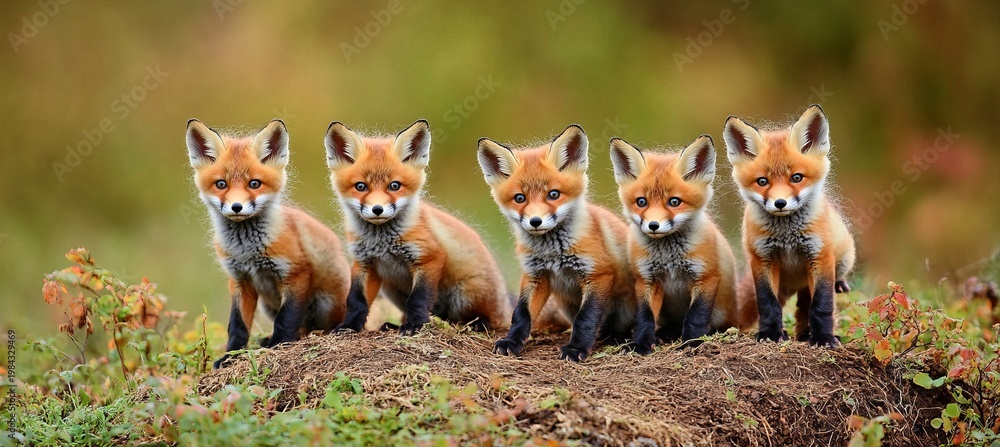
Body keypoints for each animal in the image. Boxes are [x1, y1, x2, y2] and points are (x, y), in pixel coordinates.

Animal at [185, 119, 351, 369]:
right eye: (221, 184)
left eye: (254, 183)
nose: (236, 207)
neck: (248, 251)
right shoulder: (240, 280)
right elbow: (237, 326)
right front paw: (230, 356)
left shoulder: (295, 273)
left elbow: (286, 318)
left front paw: (278, 344)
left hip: (325, 302)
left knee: (312, 327)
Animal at [324, 119, 511, 335]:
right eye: (360, 186)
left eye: (394, 186)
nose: (377, 210)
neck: (381, 242)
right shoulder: (363, 262)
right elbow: (356, 300)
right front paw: (349, 326)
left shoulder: (428, 257)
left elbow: (418, 298)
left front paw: (415, 326)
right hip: (391, 288)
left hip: (466, 295)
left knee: (490, 321)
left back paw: (477, 325)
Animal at [477, 124, 637, 362]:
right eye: (519, 198)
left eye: (553, 194)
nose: (535, 221)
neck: (553, 253)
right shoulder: (535, 275)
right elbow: (521, 314)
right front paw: (511, 342)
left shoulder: (598, 274)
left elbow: (585, 318)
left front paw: (576, 349)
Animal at [609, 135, 753, 354]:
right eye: (641, 202)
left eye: (674, 202)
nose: (653, 225)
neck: (669, 257)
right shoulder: (647, 280)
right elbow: (645, 318)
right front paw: (640, 344)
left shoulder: (705, 277)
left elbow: (695, 317)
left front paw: (692, 343)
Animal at [723, 104, 856, 347]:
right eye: (762, 181)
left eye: (796, 178)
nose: (780, 203)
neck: (787, 237)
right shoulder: (762, 259)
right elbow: (768, 304)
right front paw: (770, 333)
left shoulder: (820, 256)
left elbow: (822, 305)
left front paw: (824, 338)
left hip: (841, 260)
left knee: (808, 305)